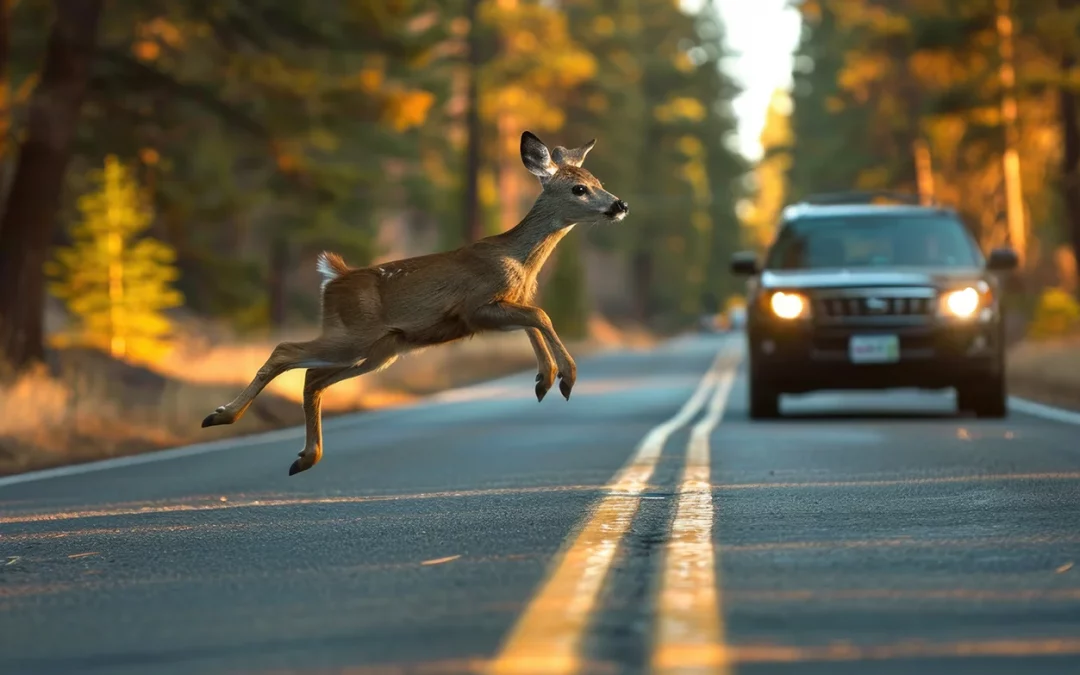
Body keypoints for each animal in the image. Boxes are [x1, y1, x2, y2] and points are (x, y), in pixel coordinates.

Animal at [200, 130, 630, 476]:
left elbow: (532, 320)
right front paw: (565, 377)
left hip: (380, 350)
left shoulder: (496, 309)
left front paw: (545, 379)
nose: (619, 205)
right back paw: (221, 415)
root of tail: (334, 278)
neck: (518, 261)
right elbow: (540, 315)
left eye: (598, 181)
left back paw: (305, 457)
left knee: (312, 378)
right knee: (285, 350)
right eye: (578, 189)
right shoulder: (474, 306)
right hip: (352, 336)